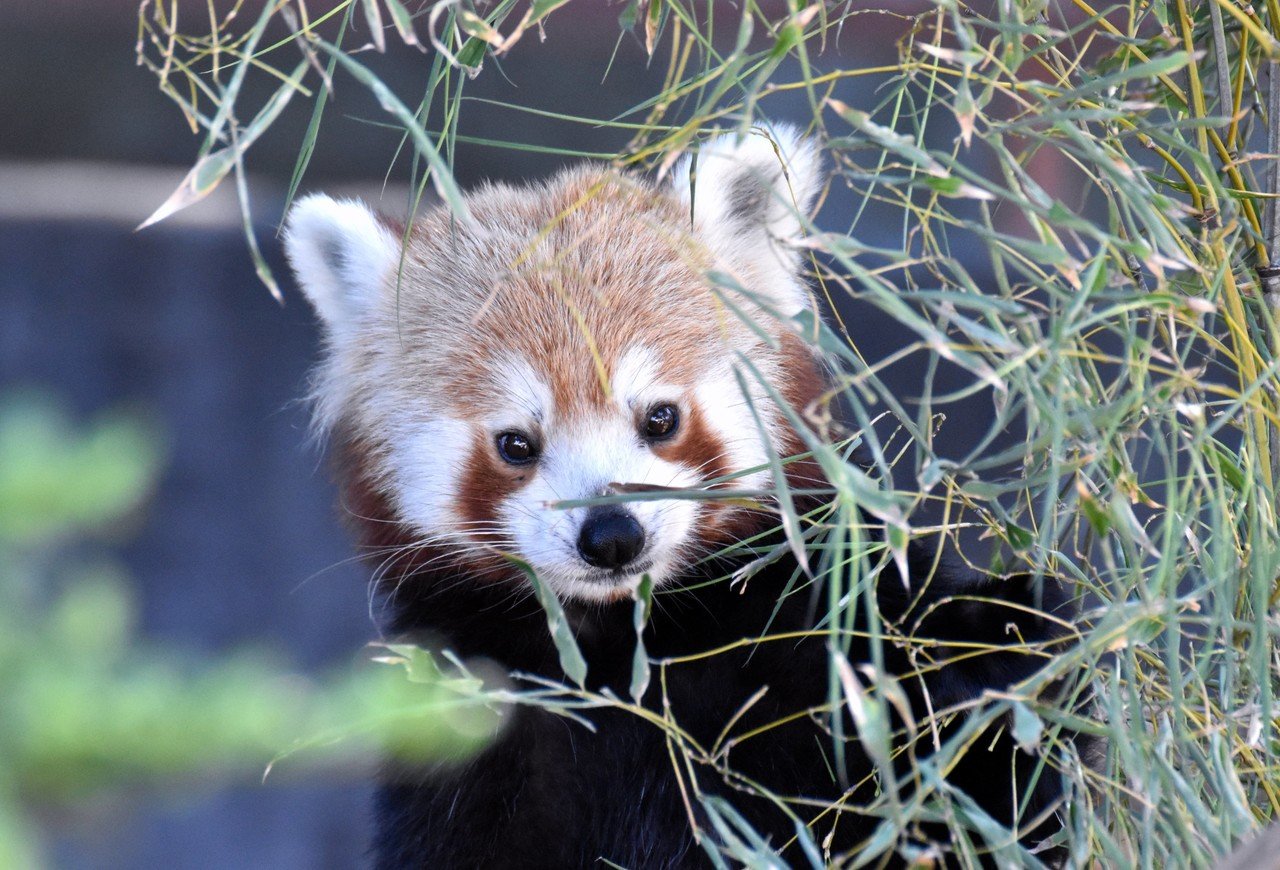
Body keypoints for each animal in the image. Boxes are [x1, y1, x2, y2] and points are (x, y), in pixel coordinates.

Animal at [282, 129, 1080, 870]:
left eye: (660, 419)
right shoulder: (475, 721)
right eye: (516, 444)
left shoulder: (815, 644)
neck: (626, 646)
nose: (610, 535)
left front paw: (1002, 640)